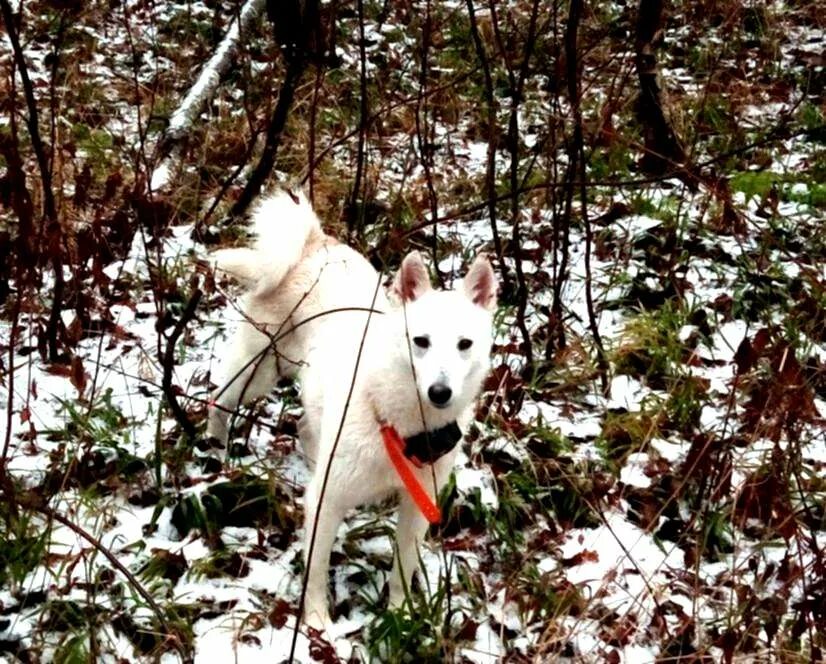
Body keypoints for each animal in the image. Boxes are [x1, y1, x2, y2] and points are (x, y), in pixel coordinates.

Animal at [206, 192, 496, 632]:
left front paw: (399, 616)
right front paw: (316, 625)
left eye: (465, 344)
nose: (440, 392)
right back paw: (215, 453)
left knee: (305, 425)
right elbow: (315, 570)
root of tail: (313, 243)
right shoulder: (325, 504)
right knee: (217, 400)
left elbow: (402, 571)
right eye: (421, 341)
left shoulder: (417, 507)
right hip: (256, 371)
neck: (399, 423)